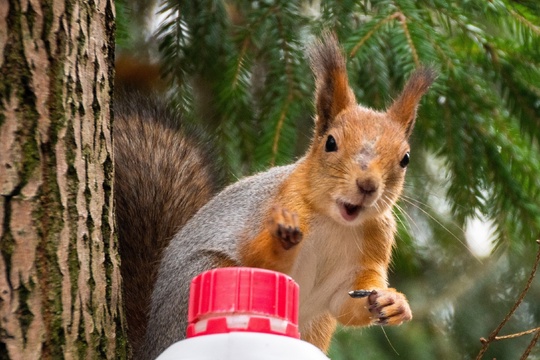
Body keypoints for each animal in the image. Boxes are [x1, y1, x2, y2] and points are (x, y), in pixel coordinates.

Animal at [117, 33, 434, 358]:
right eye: (330, 143)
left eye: (405, 158)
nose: (368, 185)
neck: (335, 222)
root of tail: (151, 342)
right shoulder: (273, 208)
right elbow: (258, 258)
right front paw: (282, 238)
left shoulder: (372, 247)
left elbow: (346, 305)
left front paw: (393, 303)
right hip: (203, 275)